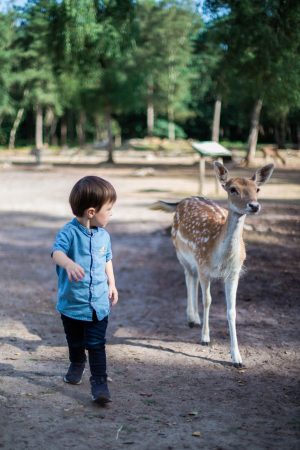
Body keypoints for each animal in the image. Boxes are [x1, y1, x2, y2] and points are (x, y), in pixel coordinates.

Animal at [152, 163, 274, 368]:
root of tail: (182, 201)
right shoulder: (204, 268)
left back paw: (195, 319)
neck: (221, 256)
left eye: (257, 189)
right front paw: (205, 339)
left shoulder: (234, 273)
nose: (254, 206)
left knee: (191, 279)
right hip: (181, 252)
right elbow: (207, 300)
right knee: (188, 278)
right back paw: (191, 319)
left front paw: (237, 358)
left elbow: (232, 310)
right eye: (233, 189)